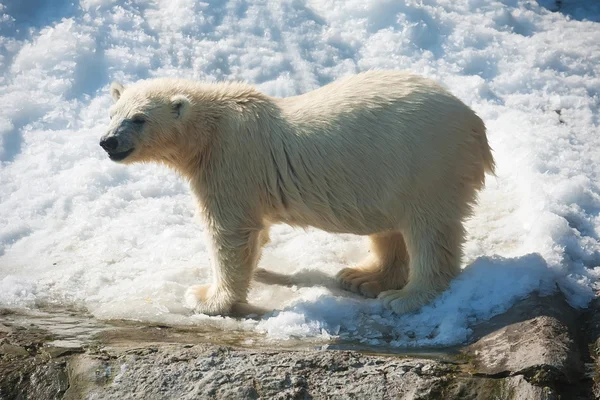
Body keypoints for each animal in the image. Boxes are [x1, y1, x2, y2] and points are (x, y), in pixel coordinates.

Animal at [101, 71, 494, 316]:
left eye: (139, 119)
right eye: (111, 113)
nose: (108, 141)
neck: (214, 127)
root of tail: (475, 124)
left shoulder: (230, 163)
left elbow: (230, 233)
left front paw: (207, 298)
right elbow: (254, 233)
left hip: (427, 166)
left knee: (429, 230)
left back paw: (406, 296)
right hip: (390, 176)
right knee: (390, 228)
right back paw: (362, 277)